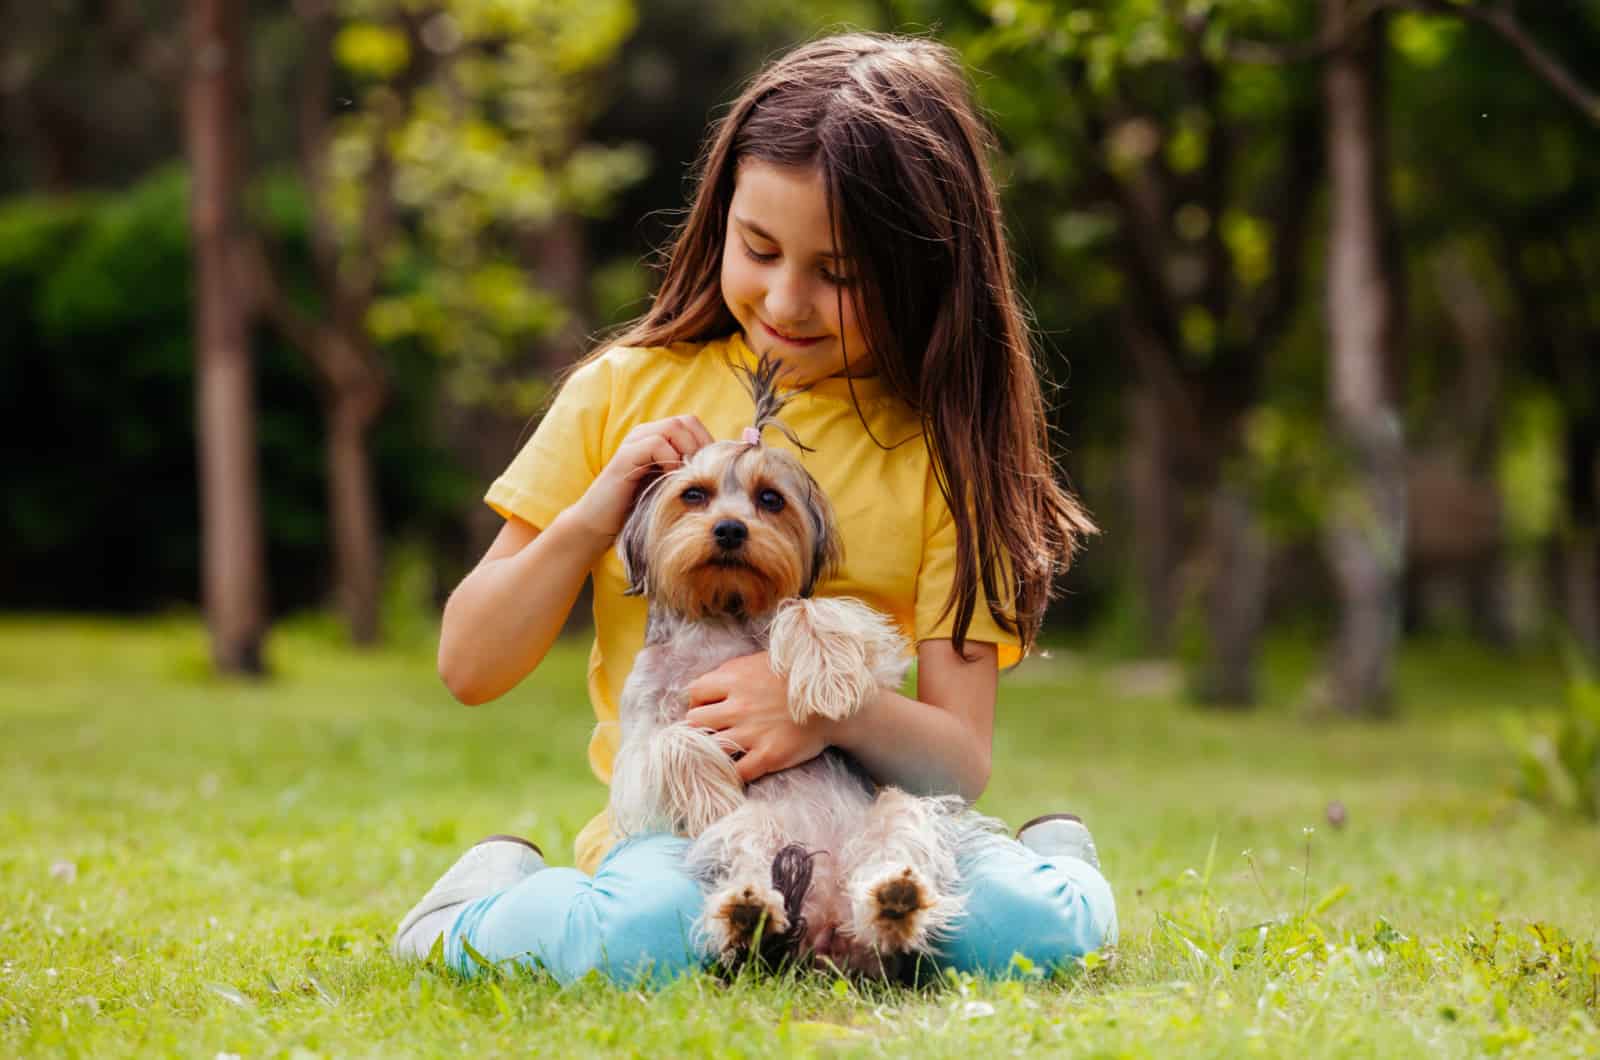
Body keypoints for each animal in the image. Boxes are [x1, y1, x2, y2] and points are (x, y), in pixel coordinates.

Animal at [604, 357, 992, 979]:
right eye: (694, 495)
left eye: (769, 499)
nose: (730, 529)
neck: (722, 616)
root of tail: (825, 927)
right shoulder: (638, 741)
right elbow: (669, 741)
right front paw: (710, 782)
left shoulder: (869, 651)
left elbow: (807, 609)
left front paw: (830, 679)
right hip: (749, 833)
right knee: (746, 860)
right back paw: (747, 913)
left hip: (901, 810)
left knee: (894, 855)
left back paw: (895, 902)